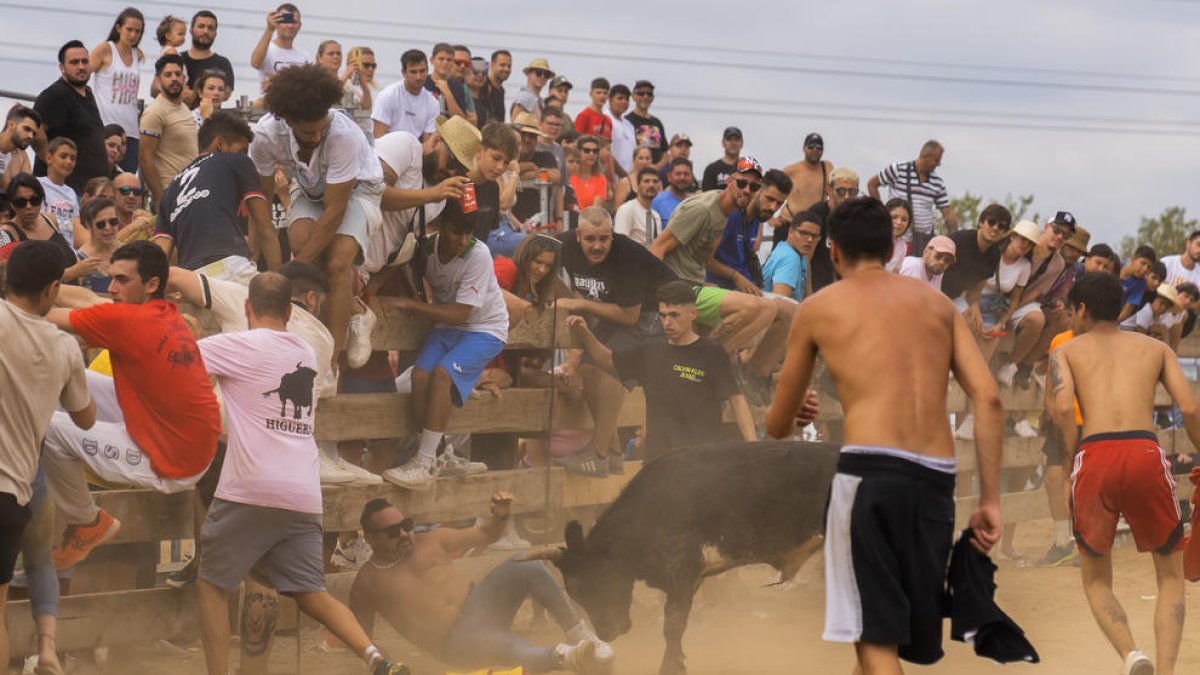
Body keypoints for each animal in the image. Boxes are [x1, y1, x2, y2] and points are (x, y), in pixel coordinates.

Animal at [525, 439, 844, 667]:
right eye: (574, 592)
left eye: (589, 585)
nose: (606, 633)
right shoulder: (692, 578)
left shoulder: (682, 570)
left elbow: (673, 626)